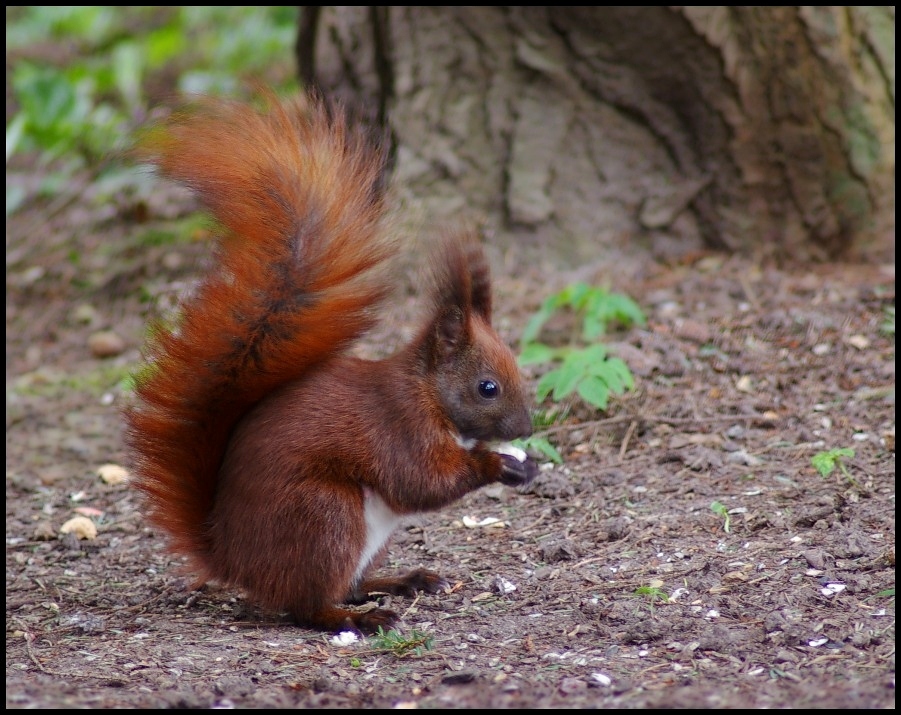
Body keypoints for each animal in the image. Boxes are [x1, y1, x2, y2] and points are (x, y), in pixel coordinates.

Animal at [123, 92, 536, 636]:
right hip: (326, 515)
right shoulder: (399, 427)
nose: (528, 429)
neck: (429, 393)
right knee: (310, 604)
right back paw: (363, 617)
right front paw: (498, 464)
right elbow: (421, 482)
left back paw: (404, 580)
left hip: (362, 535)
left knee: (351, 583)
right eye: (487, 387)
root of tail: (231, 557)